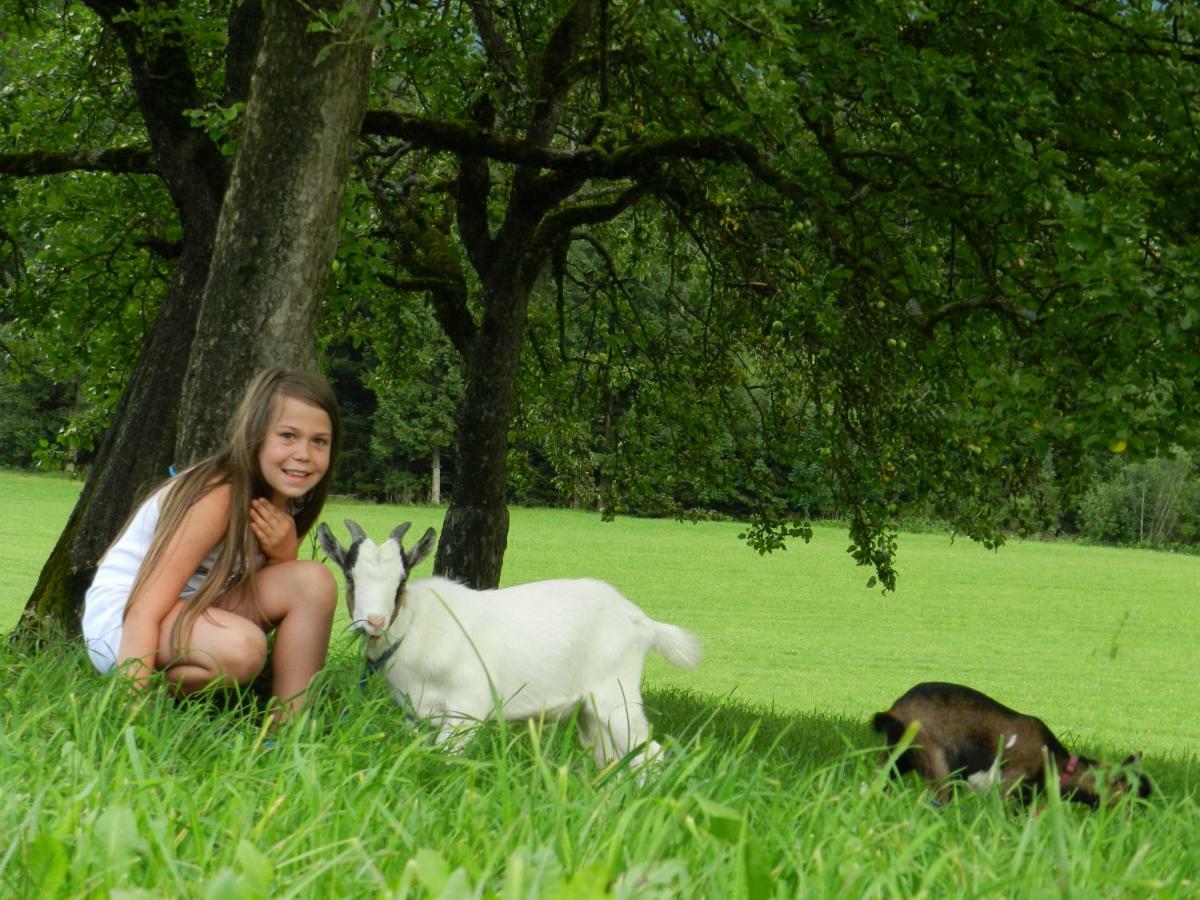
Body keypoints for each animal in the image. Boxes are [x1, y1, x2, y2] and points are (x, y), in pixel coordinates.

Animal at [319, 520, 700, 768]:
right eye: (350, 577)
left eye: (401, 581)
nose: (374, 621)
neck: (416, 625)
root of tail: (641, 622)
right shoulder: (419, 714)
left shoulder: (468, 707)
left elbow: (448, 759)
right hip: (591, 712)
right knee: (612, 757)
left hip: (616, 697)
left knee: (649, 753)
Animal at [878, 681, 1147, 811]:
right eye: (1132, 796)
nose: (1138, 820)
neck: (1056, 764)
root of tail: (896, 708)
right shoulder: (1009, 787)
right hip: (937, 762)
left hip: (897, 758)